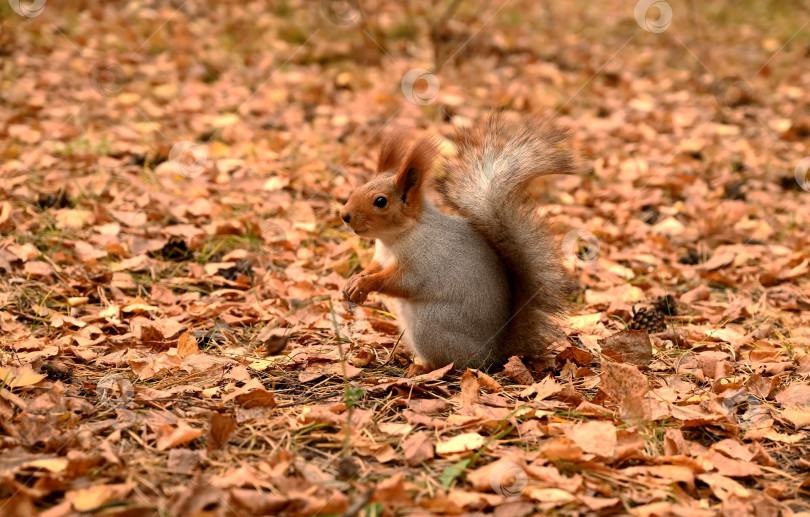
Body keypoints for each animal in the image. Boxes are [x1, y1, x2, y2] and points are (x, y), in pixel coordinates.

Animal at [340, 113, 576, 370]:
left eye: (380, 201)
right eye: (359, 187)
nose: (344, 215)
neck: (393, 239)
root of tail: (493, 354)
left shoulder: (425, 261)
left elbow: (400, 281)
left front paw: (366, 284)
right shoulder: (382, 258)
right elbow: (374, 267)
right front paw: (355, 280)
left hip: (430, 325)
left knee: (447, 362)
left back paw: (421, 368)